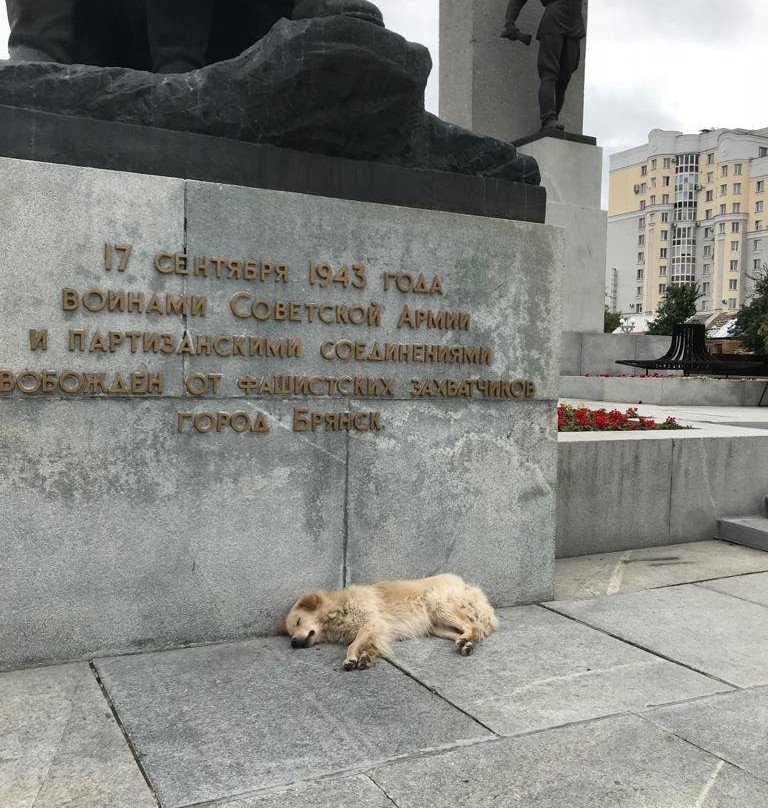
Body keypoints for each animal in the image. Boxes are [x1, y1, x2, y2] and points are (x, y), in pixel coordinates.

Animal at [276, 576, 498, 668]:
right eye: (291, 632)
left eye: (298, 621)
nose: (293, 642)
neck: (338, 608)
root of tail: (465, 585)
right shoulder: (377, 633)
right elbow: (369, 646)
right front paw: (365, 658)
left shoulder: (371, 624)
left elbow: (352, 645)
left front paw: (352, 658)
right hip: (437, 627)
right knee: (472, 632)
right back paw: (466, 643)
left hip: (437, 605)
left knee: (474, 626)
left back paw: (467, 640)